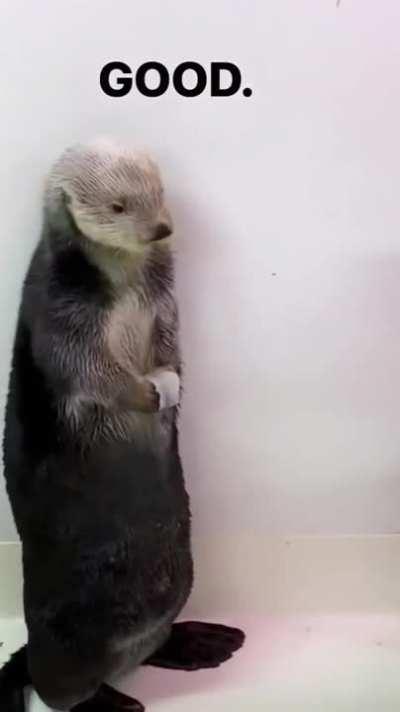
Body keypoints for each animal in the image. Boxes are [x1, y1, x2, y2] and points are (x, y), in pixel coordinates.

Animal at [0, 140, 244, 712]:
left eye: (159, 191)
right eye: (117, 205)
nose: (160, 228)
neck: (125, 275)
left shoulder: (166, 299)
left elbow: (173, 346)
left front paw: (170, 385)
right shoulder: (59, 306)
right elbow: (89, 369)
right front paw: (148, 394)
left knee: (156, 642)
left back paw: (200, 642)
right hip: (64, 641)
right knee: (59, 692)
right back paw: (112, 701)